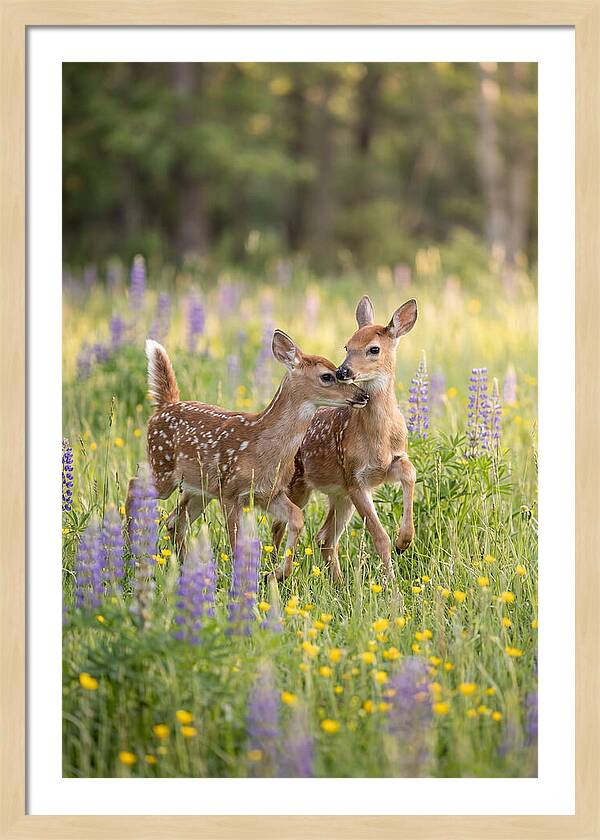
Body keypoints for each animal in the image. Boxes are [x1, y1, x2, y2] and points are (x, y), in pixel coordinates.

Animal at [126, 332, 369, 579]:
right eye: (327, 376)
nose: (363, 395)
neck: (262, 447)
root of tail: (164, 406)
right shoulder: (230, 493)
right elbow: (236, 544)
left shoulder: (269, 493)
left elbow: (297, 518)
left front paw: (276, 574)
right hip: (163, 468)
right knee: (135, 484)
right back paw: (129, 546)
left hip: (199, 490)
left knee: (175, 521)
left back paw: (185, 570)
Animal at [272, 297, 418, 583]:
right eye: (347, 346)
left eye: (374, 349)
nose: (343, 371)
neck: (379, 438)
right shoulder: (354, 478)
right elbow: (379, 537)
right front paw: (392, 584)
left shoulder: (388, 465)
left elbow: (410, 472)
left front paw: (404, 541)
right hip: (298, 485)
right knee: (278, 527)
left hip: (338, 495)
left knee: (324, 537)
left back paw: (338, 583)